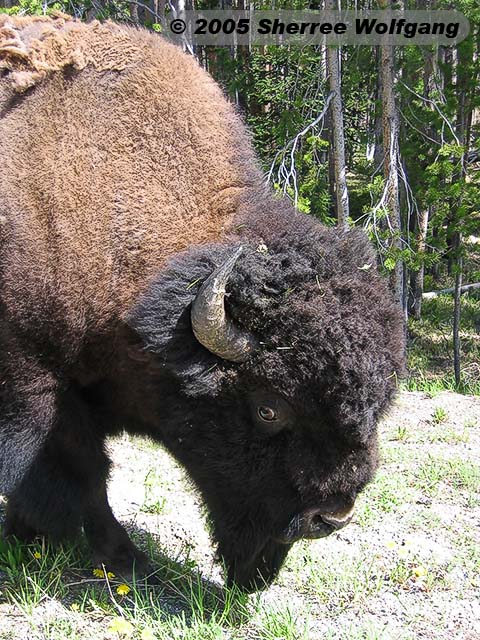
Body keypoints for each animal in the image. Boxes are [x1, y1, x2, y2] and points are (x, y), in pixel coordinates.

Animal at [0, 13, 404, 592]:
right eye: (267, 407)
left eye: (378, 407)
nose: (330, 517)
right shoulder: (34, 379)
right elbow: (83, 472)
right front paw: (123, 557)